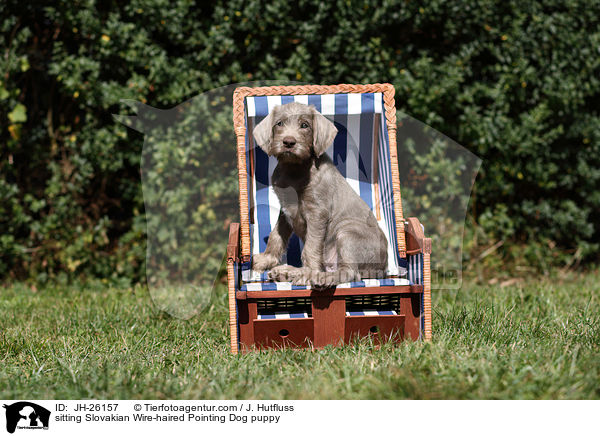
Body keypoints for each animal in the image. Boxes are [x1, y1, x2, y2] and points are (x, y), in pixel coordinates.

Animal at [250, 100, 386, 288]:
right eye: (279, 123)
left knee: (350, 272)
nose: (289, 142)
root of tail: (384, 269)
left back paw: (321, 278)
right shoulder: (285, 209)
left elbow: (311, 247)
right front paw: (265, 259)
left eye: (305, 125)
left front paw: (308, 274)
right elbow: (276, 236)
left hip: (347, 233)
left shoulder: (317, 213)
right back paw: (286, 272)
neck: (295, 169)